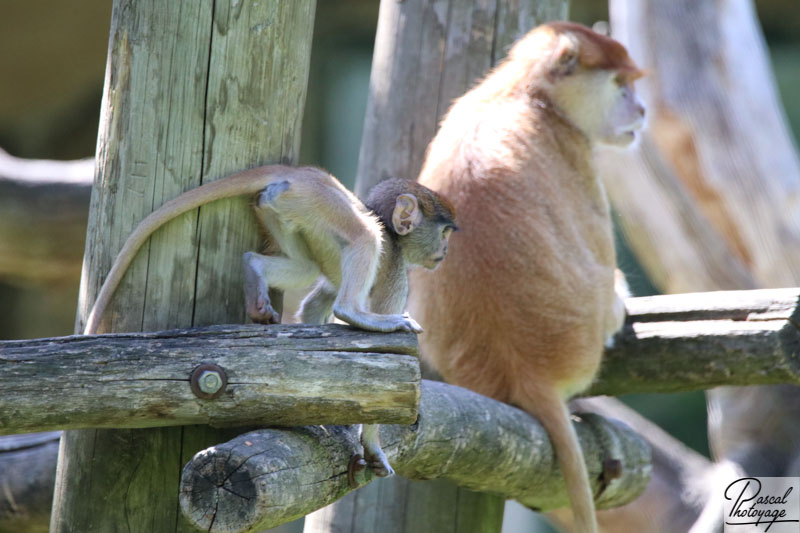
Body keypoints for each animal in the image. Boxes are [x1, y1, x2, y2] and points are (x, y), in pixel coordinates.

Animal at [83, 165, 456, 474]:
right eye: (445, 233)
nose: (445, 252)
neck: (394, 234)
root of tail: (301, 174)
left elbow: (315, 306)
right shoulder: (395, 271)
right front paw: (372, 444)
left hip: (282, 210)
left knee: (305, 265)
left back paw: (254, 268)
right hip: (318, 204)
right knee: (363, 236)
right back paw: (352, 308)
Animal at [410, 21, 648, 532]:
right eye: (620, 84)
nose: (640, 109)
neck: (526, 90)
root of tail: (526, 371)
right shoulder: (575, 152)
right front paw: (620, 300)